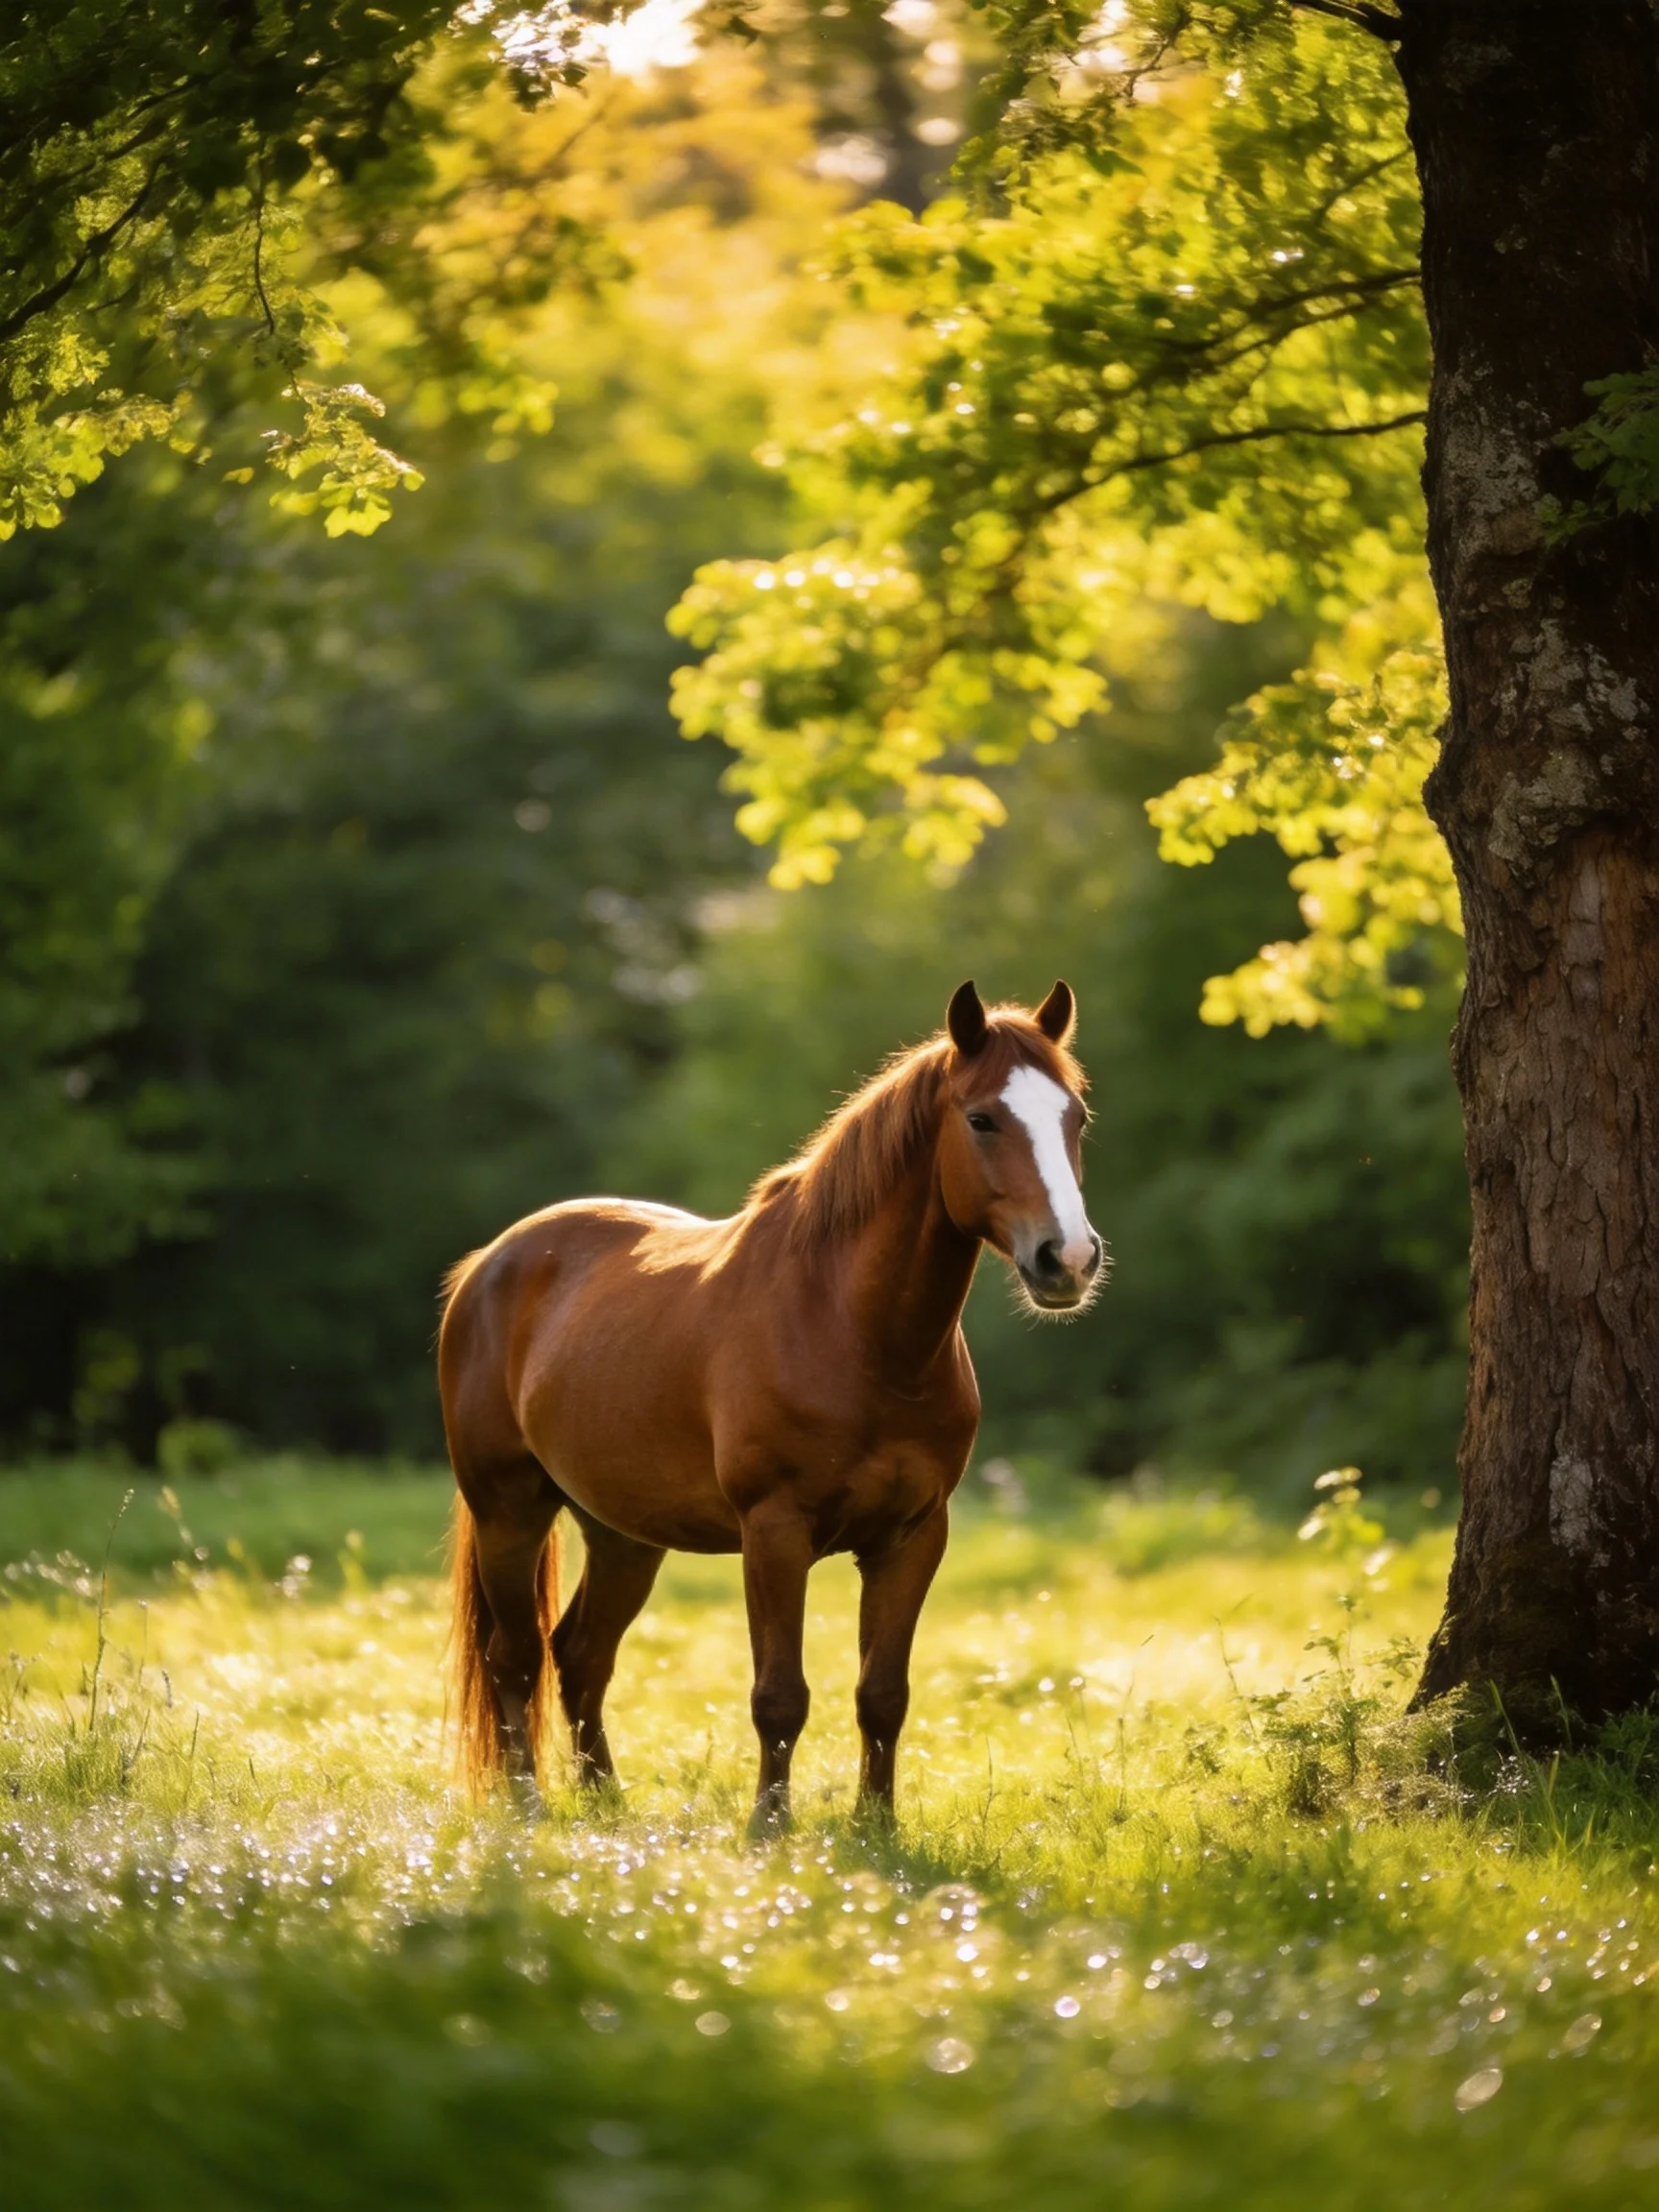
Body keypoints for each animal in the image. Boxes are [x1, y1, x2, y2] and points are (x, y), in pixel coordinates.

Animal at [439, 977, 1104, 1827]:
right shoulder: (775, 1532)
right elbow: (779, 1697)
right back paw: (529, 1811)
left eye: (1075, 1117)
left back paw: (607, 1804)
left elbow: (883, 1694)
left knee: (580, 1653)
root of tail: (488, 1265)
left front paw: (876, 1828)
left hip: (623, 1534)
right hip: (509, 1510)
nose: (1069, 1259)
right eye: (983, 1118)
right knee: (515, 1658)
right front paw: (770, 1830)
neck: (857, 1334)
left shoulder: (913, 1537)